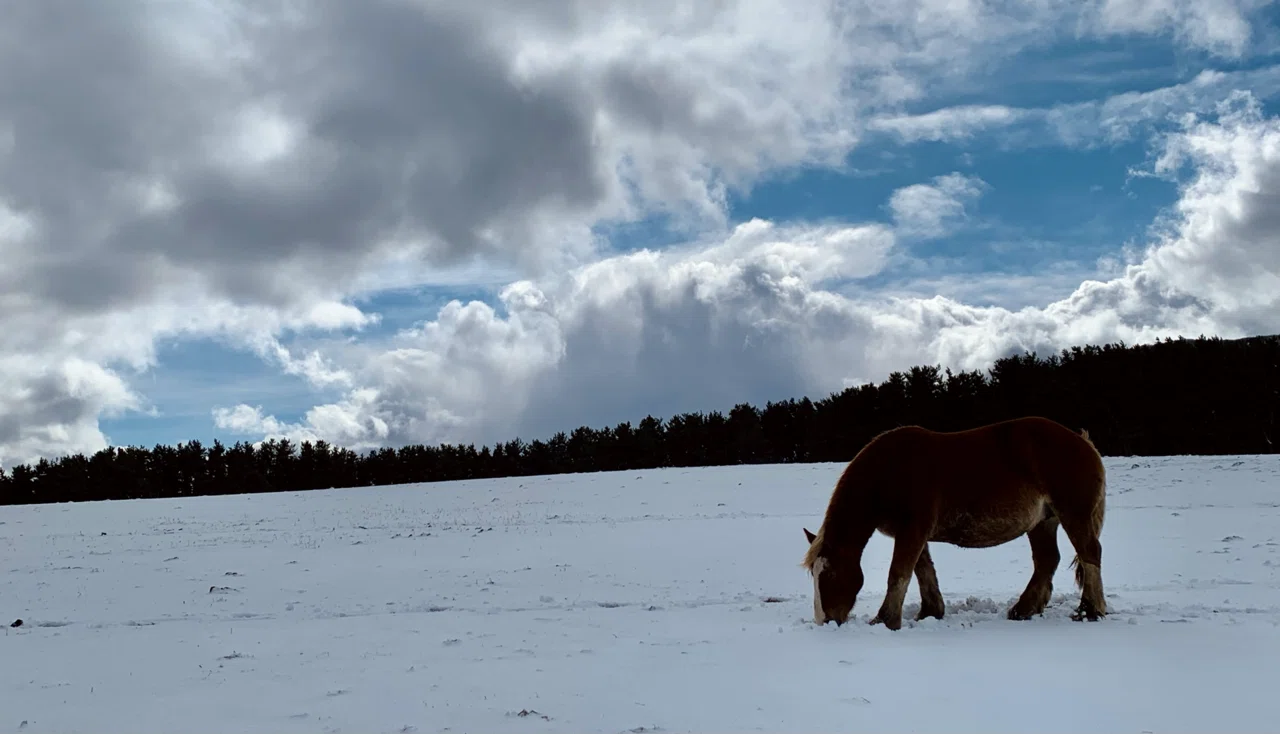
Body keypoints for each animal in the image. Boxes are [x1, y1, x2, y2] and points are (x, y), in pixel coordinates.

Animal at [801, 415, 1107, 630]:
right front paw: (930, 611)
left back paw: (1089, 611)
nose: (824, 621)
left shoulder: (913, 530)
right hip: (1043, 522)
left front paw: (885, 620)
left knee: (1090, 553)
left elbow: (899, 573)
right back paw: (1023, 610)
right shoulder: (912, 533)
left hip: (1073, 514)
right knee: (1047, 561)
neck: (888, 472)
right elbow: (922, 570)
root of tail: (1082, 441)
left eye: (829, 574)